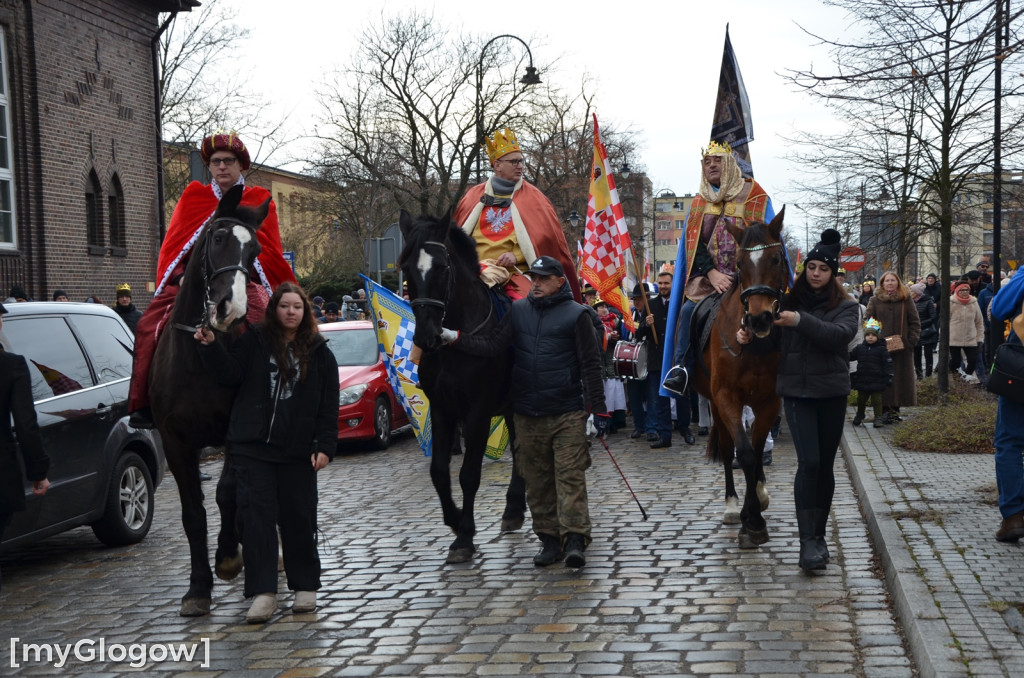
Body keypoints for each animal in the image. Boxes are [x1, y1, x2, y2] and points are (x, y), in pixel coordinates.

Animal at [149, 184, 268, 614]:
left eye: (255, 252)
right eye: (217, 238)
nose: (231, 311)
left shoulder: (234, 431)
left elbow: (227, 492)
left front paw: (229, 556)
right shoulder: (176, 442)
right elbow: (193, 513)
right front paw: (198, 587)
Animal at [397, 209, 528, 565]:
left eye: (443, 267)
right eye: (406, 269)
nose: (426, 335)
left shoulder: (478, 412)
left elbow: (468, 474)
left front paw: (465, 537)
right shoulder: (442, 409)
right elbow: (439, 471)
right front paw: (455, 521)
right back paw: (514, 508)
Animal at [692, 210, 786, 553]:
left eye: (776, 258)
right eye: (740, 264)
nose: (759, 319)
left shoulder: (770, 400)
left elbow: (756, 451)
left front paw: (757, 501)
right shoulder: (726, 397)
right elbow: (742, 452)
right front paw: (751, 520)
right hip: (714, 403)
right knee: (726, 444)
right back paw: (732, 505)